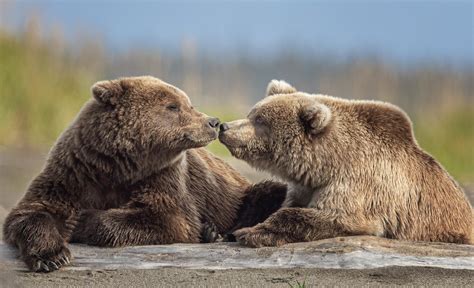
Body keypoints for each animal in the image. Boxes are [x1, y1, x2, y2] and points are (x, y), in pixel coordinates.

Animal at [3, 76, 286, 272]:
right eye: (173, 106)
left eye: (188, 103)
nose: (213, 122)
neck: (118, 167)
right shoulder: (74, 173)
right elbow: (31, 212)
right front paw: (52, 257)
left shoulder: (162, 177)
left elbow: (166, 216)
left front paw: (81, 220)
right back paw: (211, 233)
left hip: (238, 196)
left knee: (270, 193)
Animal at [219, 79, 474, 248]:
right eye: (252, 113)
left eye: (260, 121)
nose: (224, 127)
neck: (325, 165)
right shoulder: (304, 186)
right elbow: (285, 203)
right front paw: (237, 228)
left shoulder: (359, 184)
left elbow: (333, 216)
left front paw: (251, 233)